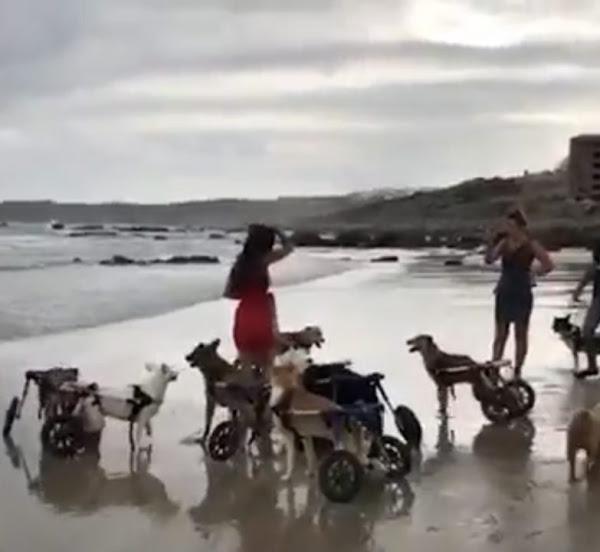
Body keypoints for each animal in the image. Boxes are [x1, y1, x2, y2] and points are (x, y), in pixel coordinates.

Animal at [270, 352, 366, 480]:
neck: (286, 387)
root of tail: (345, 413)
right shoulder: (306, 436)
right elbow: (310, 455)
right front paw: (310, 472)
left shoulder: (290, 437)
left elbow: (290, 460)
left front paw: (287, 475)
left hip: (339, 444)